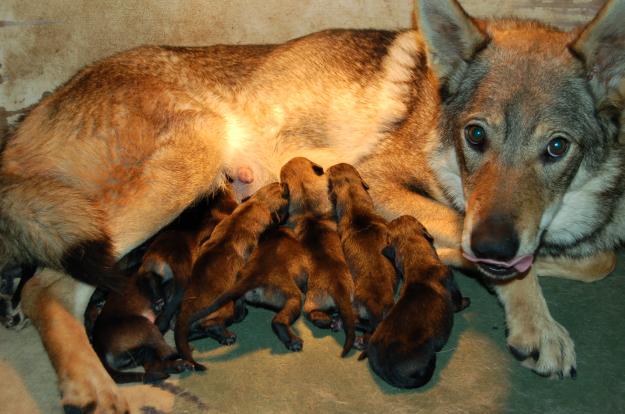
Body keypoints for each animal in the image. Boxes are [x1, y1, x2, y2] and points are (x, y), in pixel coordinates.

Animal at [174, 183, 288, 370]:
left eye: (276, 185)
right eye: (284, 194)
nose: (285, 183)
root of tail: (187, 309)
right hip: (225, 309)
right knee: (211, 325)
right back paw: (227, 335)